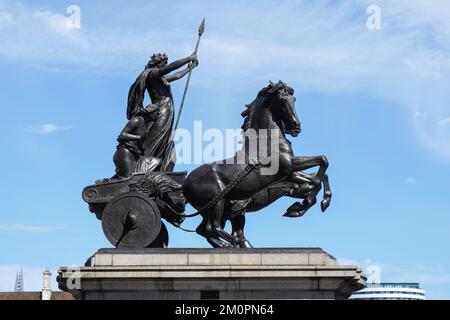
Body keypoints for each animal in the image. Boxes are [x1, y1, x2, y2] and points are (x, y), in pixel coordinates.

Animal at [182, 80, 330, 248]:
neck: (267, 141)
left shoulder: (289, 173)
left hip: (208, 208)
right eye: (282, 100)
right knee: (213, 227)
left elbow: (321, 173)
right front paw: (303, 204)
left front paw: (310, 204)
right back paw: (234, 243)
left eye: (294, 99)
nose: (295, 126)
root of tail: (184, 184)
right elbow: (322, 164)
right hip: (217, 202)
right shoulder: (289, 165)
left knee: (205, 229)